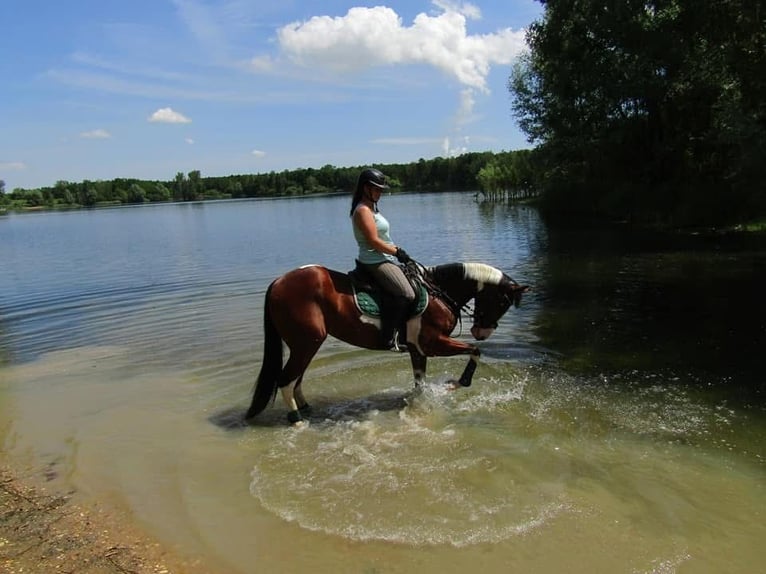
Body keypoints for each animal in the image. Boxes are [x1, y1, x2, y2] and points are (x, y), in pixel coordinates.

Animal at [246, 264, 528, 426]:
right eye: (503, 301)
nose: (482, 331)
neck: (438, 291)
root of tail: (278, 282)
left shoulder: (417, 350)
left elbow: (419, 383)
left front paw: (422, 404)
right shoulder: (432, 343)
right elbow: (475, 352)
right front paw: (455, 384)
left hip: (306, 345)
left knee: (296, 379)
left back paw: (305, 409)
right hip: (306, 343)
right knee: (286, 379)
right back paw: (297, 421)